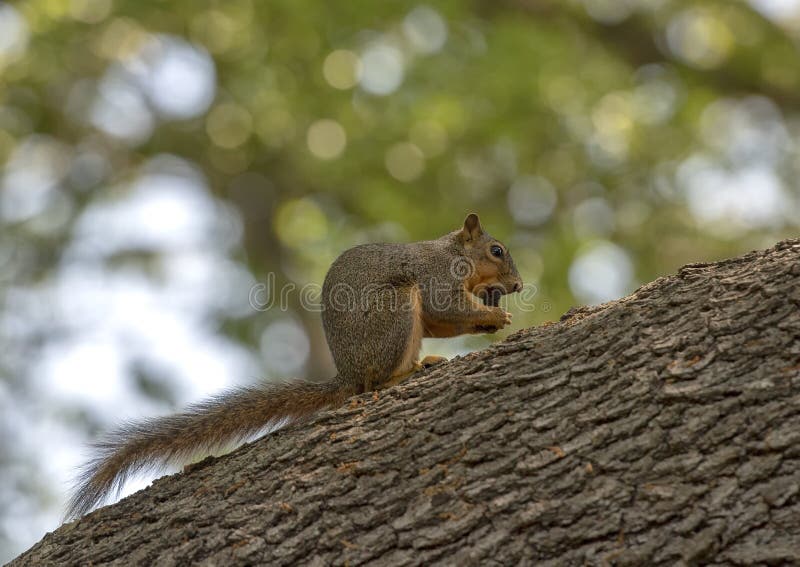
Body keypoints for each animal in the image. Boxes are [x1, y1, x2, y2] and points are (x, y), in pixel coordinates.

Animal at [66, 213, 522, 519]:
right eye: (497, 250)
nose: (517, 286)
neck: (454, 253)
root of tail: (348, 373)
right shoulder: (434, 277)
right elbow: (445, 306)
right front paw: (494, 314)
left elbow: (443, 321)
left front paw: (492, 317)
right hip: (392, 310)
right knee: (375, 383)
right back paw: (407, 372)